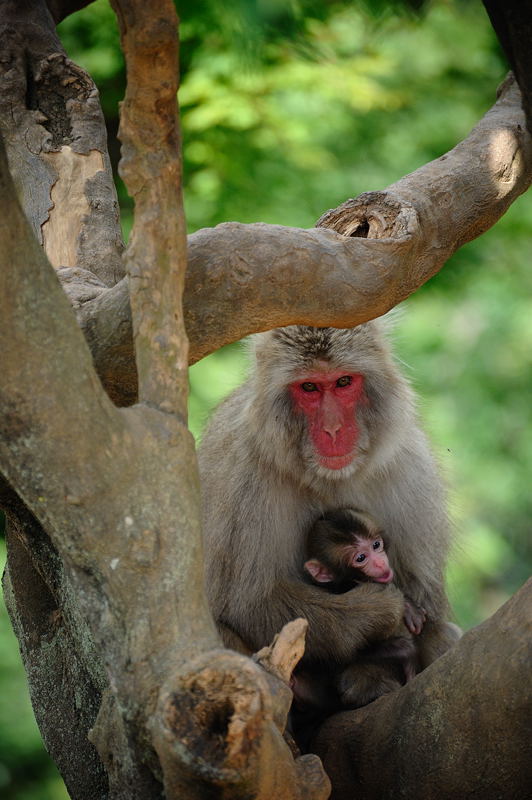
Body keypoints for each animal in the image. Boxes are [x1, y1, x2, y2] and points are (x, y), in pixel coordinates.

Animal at [197, 322, 460, 664]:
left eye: (343, 382)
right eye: (309, 387)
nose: (333, 430)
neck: (330, 478)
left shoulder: (411, 470)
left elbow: (429, 603)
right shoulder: (243, 480)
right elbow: (251, 602)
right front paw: (382, 608)